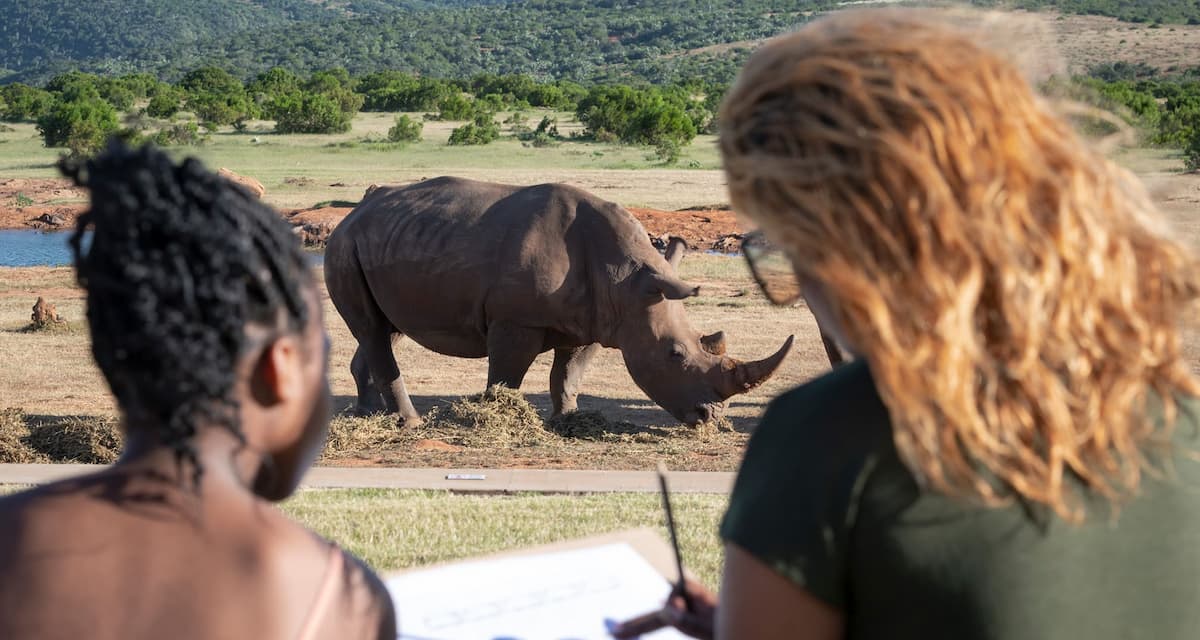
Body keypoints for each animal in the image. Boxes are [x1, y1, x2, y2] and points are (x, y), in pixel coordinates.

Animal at [323, 176, 794, 426]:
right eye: (675, 354)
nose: (710, 417)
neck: (627, 279)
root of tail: (354, 212)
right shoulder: (515, 320)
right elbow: (506, 375)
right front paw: (497, 416)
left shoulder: (596, 320)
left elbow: (568, 374)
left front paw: (567, 421)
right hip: (343, 245)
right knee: (374, 330)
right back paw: (409, 422)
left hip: (386, 242)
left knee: (385, 329)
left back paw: (367, 413)